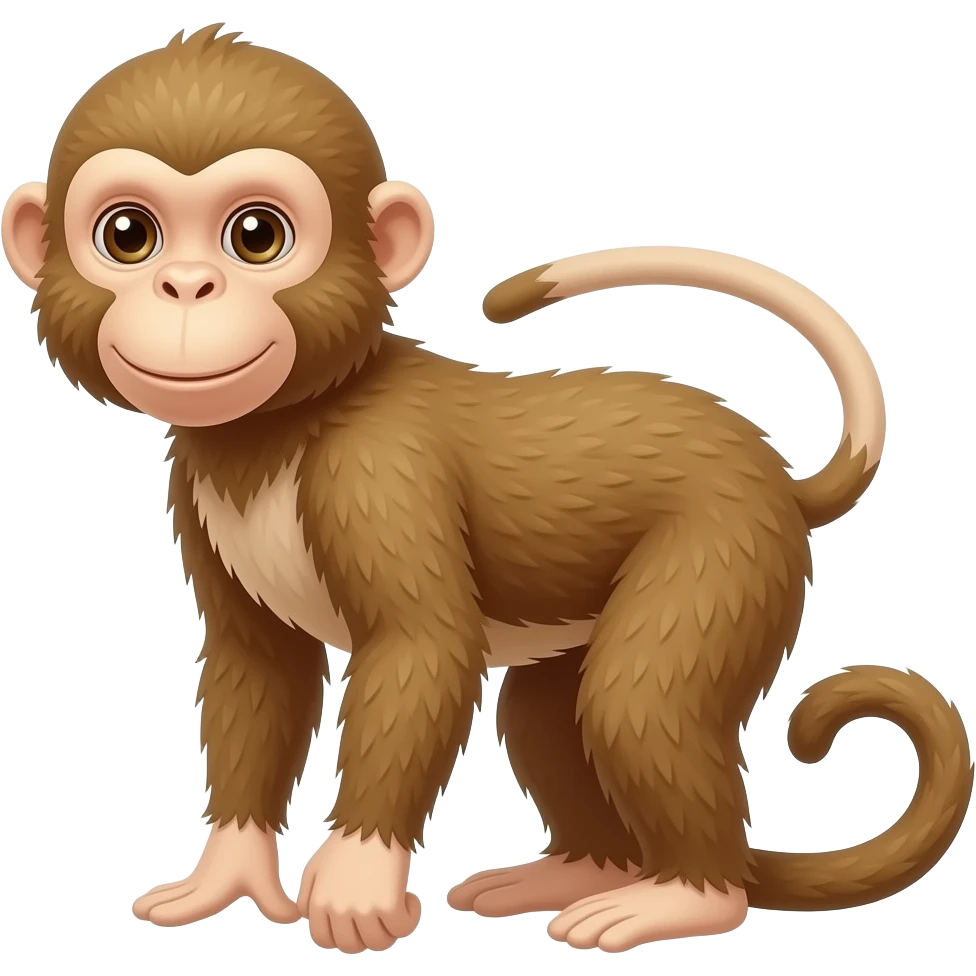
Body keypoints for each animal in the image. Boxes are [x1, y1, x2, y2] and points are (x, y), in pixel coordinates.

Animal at [2, 23, 971, 956]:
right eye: (130, 235)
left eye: (257, 237)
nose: (187, 286)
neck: (285, 424)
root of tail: (779, 479)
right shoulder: (196, 492)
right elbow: (259, 663)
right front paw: (228, 874)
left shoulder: (379, 470)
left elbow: (422, 647)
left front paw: (356, 878)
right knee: (547, 712)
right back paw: (578, 870)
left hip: (726, 550)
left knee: (635, 703)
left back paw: (686, 894)